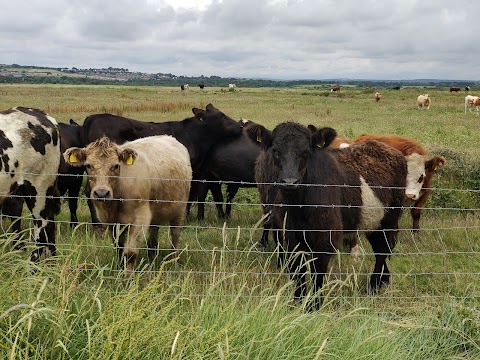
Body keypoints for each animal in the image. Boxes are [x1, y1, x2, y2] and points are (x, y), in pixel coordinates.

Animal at [63, 136, 191, 276]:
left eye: (116, 166)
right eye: (88, 165)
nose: (101, 193)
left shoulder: (140, 219)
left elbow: (130, 252)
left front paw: (128, 276)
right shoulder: (113, 223)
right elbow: (119, 247)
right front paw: (120, 269)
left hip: (180, 209)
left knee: (175, 235)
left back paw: (174, 261)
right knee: (153, 237)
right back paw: (151, 260)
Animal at [249, 122, 406, 308]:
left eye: (305, 152)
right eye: (275, 151)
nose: (290, 181)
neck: (298, 207)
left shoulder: (325, 238)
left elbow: (318, 273)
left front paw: (315, 305)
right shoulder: (290, 237)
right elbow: (298, 272)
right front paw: (298, 302)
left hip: (390, 217)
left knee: (383, 249)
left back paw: (374, 286)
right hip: (373, 221)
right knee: (379, 246)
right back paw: (383, 280)